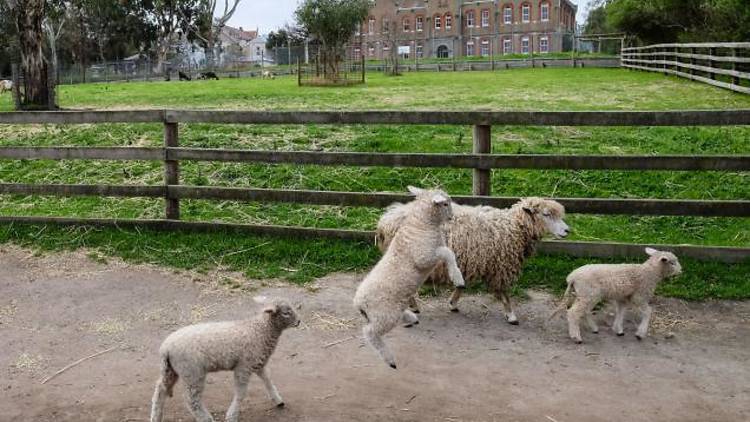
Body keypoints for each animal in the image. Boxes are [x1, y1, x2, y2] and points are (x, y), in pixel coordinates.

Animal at [150, 296, 300, 422]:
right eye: (286, 313)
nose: (299, 322)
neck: (260, 330)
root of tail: (165, 348)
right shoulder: (244, 366)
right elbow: (241, 393)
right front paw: (232, 415)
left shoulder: (258, 362)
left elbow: (268, 380)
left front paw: (278, 400)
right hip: (192, 372)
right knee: (191, 400)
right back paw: (206, 419)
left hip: (171, 370)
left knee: (160, 389)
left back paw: (156, 417)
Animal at [352, 186, 464, 368]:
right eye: (445, 203)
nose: (451, 217)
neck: (421, 224)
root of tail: (358, 302)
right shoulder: (424, 256)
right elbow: (447, 253)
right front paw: (458, 278)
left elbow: (448, 253)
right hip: (384, 316)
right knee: (369, 332)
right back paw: (389, 359)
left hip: (387, 313)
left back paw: (411, 318)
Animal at [378, 197, 572, 324]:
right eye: (546, 214)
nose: (567, 231)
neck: (513, 227)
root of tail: (386, 221)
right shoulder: (500, 266)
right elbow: (504, 292)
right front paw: (511, 315)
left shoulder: (474, 261)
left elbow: (462, 285)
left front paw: (453, 303)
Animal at [548, 247, 684, 342]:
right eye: (672, 263)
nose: (681, 271)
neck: (650, 272)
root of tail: (572, 277)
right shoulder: (639, 296)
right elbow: (648, 312)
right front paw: (640, 333)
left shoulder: (622, 297)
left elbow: (621, 311)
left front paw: (618, 329)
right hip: (588, 294)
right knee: (573, 313)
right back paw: (576, 337)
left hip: (586, 295)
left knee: (585, 311)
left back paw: (594, 328)